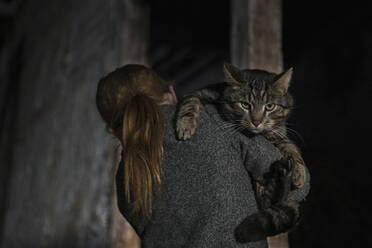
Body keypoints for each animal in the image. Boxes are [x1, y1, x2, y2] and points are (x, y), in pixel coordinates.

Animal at [176, 62, 306, 242]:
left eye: (270, 106)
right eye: (245, 105)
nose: (256, 122)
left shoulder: (276, 134)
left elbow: (290, 146)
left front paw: (300, 171)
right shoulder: (202, 92)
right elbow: (190, 100)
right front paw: (185, 124)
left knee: (268, 201)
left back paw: (284, 173)